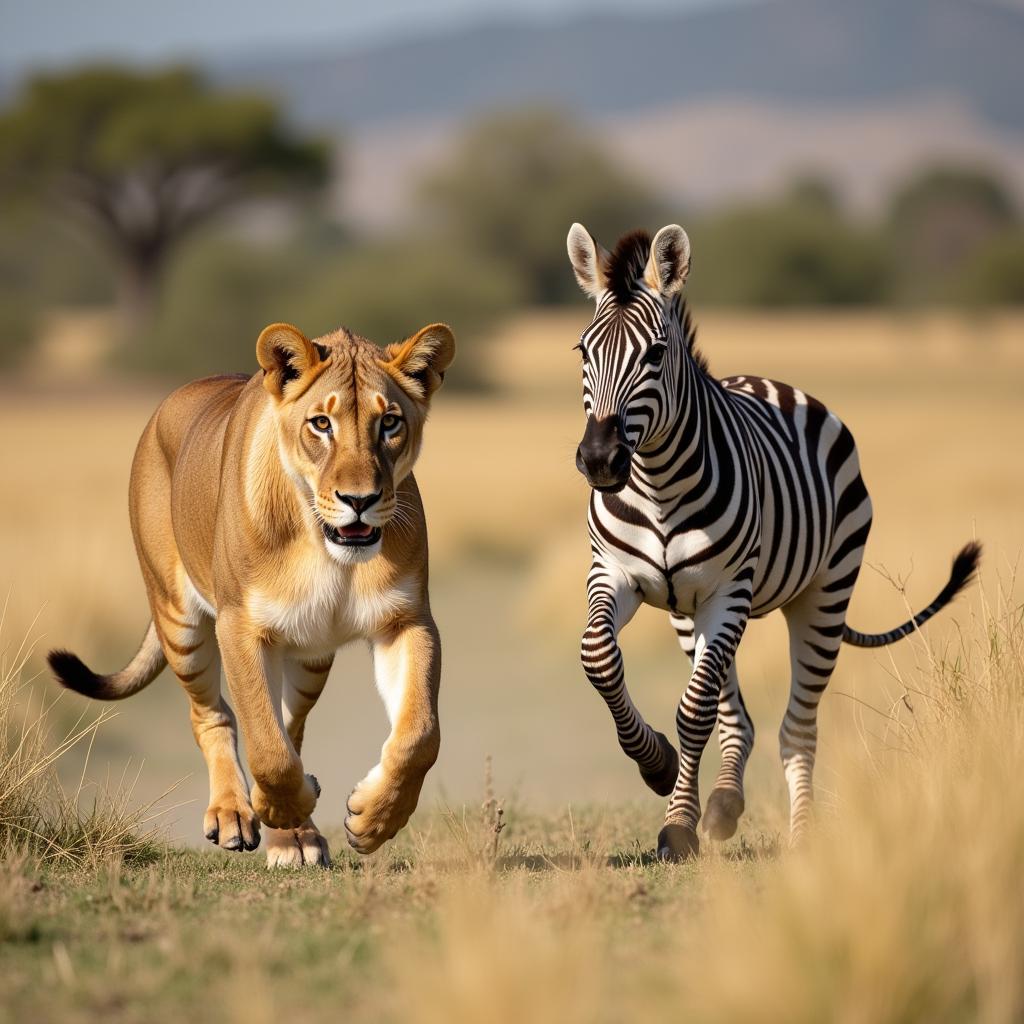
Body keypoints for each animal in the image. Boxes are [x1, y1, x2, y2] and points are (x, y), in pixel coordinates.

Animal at [565, 224, 978, 864]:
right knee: (738, 717)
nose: (599, 461)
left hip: (821, 597)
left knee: (796, 727)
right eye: (583, 352)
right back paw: (723, 804)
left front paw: (675, 817)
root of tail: (777, 384)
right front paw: (658, 771)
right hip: (690, 614)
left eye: (655, 354)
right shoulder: (615, 575)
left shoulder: (729, 591)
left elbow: (693, 712)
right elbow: (600, 659)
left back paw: (802, 836)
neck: (657, 482)